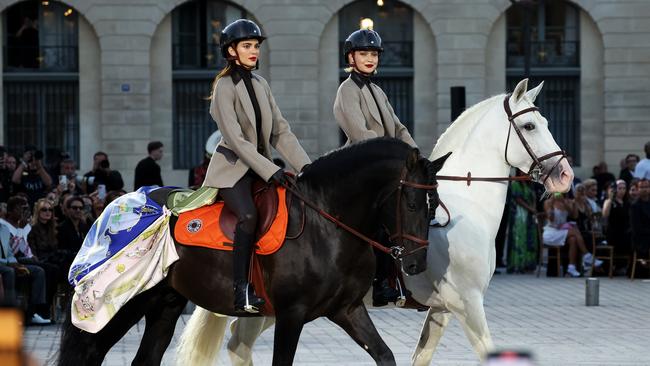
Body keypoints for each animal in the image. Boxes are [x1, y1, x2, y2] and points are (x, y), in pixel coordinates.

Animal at [58, 139, 448, 364]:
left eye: (435, 205)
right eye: (412, 203)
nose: (416, 263)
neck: (327, 223)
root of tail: (116, 205)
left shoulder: (347, 310)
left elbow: (384, 355)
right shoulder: (291, 314)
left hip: (164, 304)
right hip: (123, 305)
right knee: (90, 351)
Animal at [175, 78, 568, 364]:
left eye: (547, 122)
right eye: (529, 125)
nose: (564, 175)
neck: (467, 208)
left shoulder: (441, 310)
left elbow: (420, 357)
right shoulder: (467, 304)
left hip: (270, 308)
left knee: (237, 345)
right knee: (238, 345)